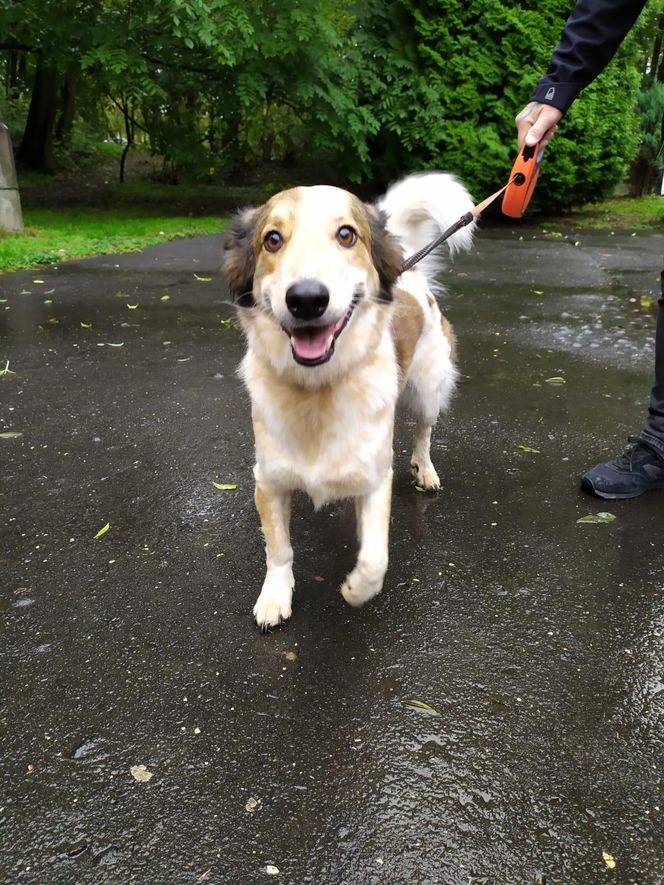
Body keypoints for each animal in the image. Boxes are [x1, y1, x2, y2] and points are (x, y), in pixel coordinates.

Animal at [222, 173, 472, 628]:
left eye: (346, 234)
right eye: (272, 239)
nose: (306, 298)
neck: (317, 390)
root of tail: (410, 273)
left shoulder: (375, 477)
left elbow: (375, 557)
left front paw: (357, 589)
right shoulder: (268, 480)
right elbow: (278, 549)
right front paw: (275, 597)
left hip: (427, 389)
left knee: (424, 432)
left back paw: (425, 469)